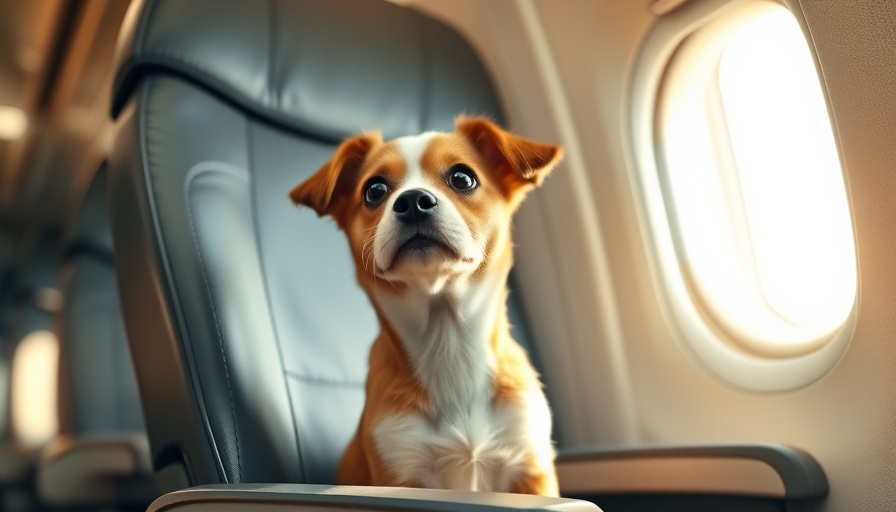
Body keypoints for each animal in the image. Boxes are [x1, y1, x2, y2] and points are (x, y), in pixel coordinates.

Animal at [290, 117, 564, 496]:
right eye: (374, 190)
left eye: (462, 178)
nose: (413, 201)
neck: (447, 341)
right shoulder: (400, 470)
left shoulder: (530, 467)